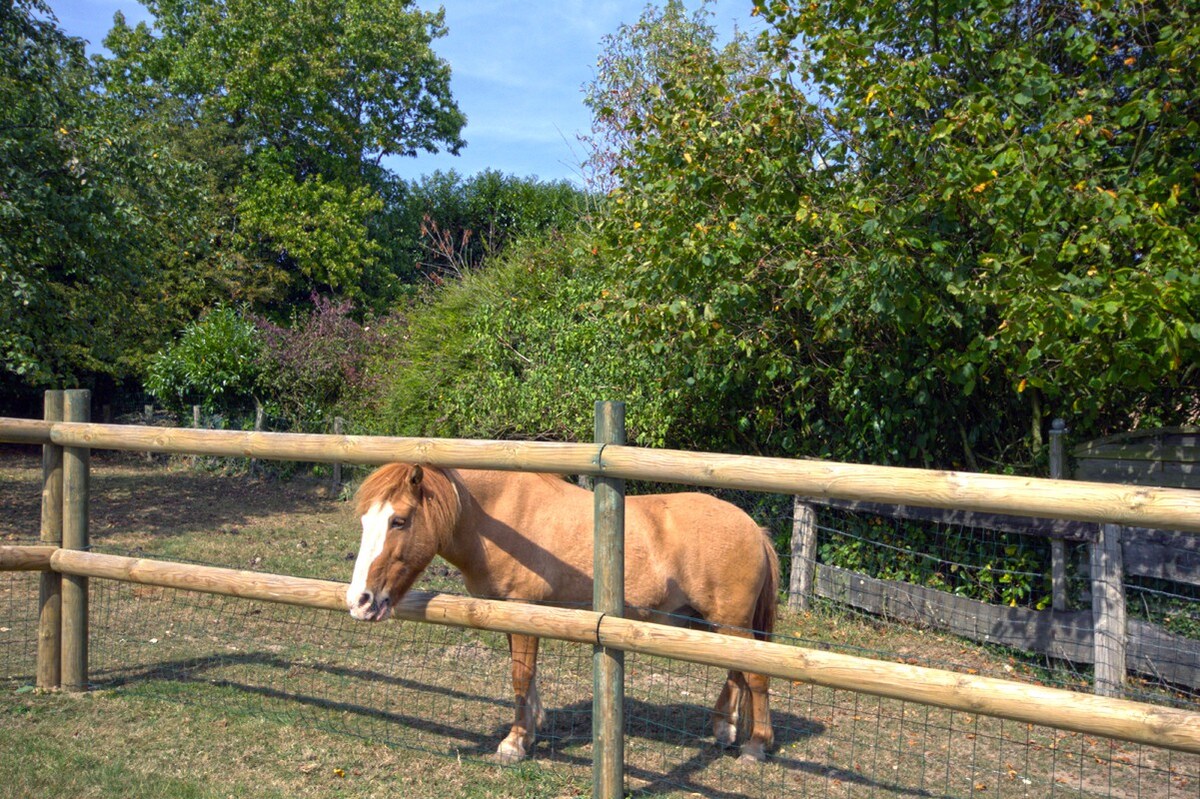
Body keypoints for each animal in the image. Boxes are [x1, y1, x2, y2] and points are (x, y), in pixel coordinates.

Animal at [348, 463, 777, 763]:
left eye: (399, 520)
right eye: (366, 520)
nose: (359, 601)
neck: (499, 518)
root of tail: (753, 528)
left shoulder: (522, 609)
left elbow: (520, 676)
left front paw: (514, 743)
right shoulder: (511, 613)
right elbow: (526, 676)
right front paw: (531, 728)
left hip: (732, 623)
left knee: (755, 675)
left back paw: (755, 745)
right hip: (716, 623)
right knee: (736, 671)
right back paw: (724, 729)